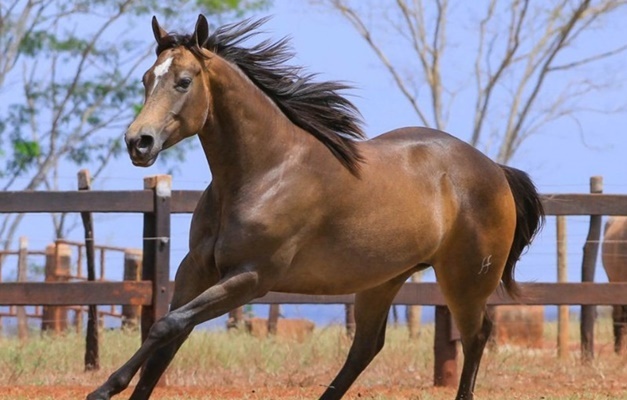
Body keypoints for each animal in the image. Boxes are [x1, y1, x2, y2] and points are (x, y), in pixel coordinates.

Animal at [87, 14, 544, 400]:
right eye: (147, 78)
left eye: (183, 81)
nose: (138, 142)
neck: (265, 171)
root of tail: (495, 170)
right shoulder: (195, 269)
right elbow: (167, 337)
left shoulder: (253, 277)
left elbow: (168, 325)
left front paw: (103, 389)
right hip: (383, 280)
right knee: (366, 346)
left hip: (465, 280)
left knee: (476, 336)